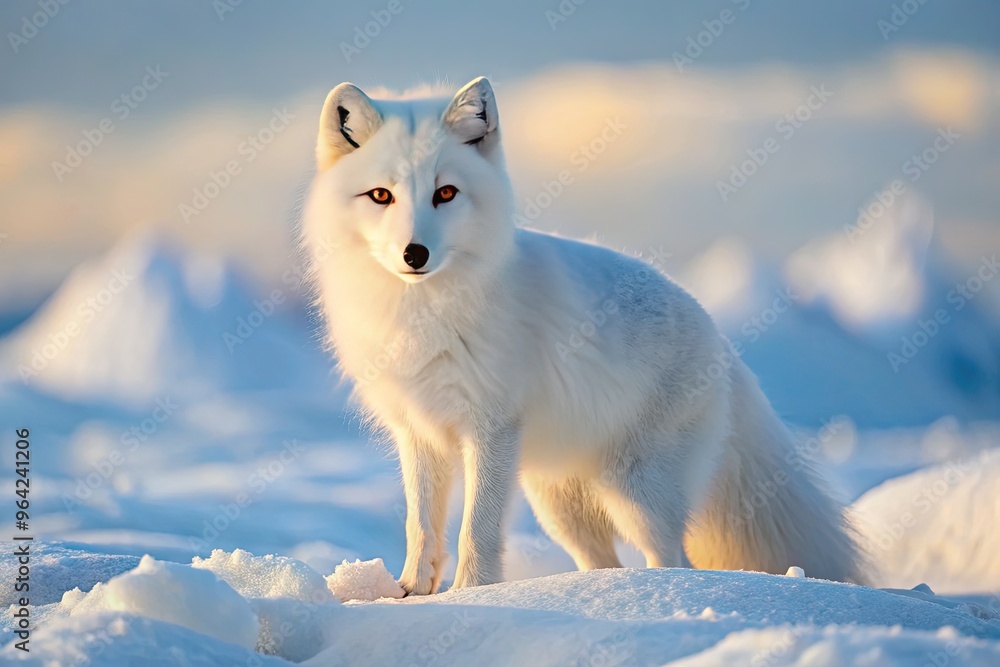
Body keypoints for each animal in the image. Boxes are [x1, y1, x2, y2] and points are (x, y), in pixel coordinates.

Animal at [302, 76, 865, 595]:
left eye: (446, 193)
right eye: (381, 195)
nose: (413, 253)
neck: (421, 313)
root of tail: (721, 343)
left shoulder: (491, 429)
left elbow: (476, 531)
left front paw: (471, 595)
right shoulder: (418, 431)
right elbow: (421, 525)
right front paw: (411, 593)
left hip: (635, 493)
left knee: (674, 560)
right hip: (559, 504)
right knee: (603, 563)